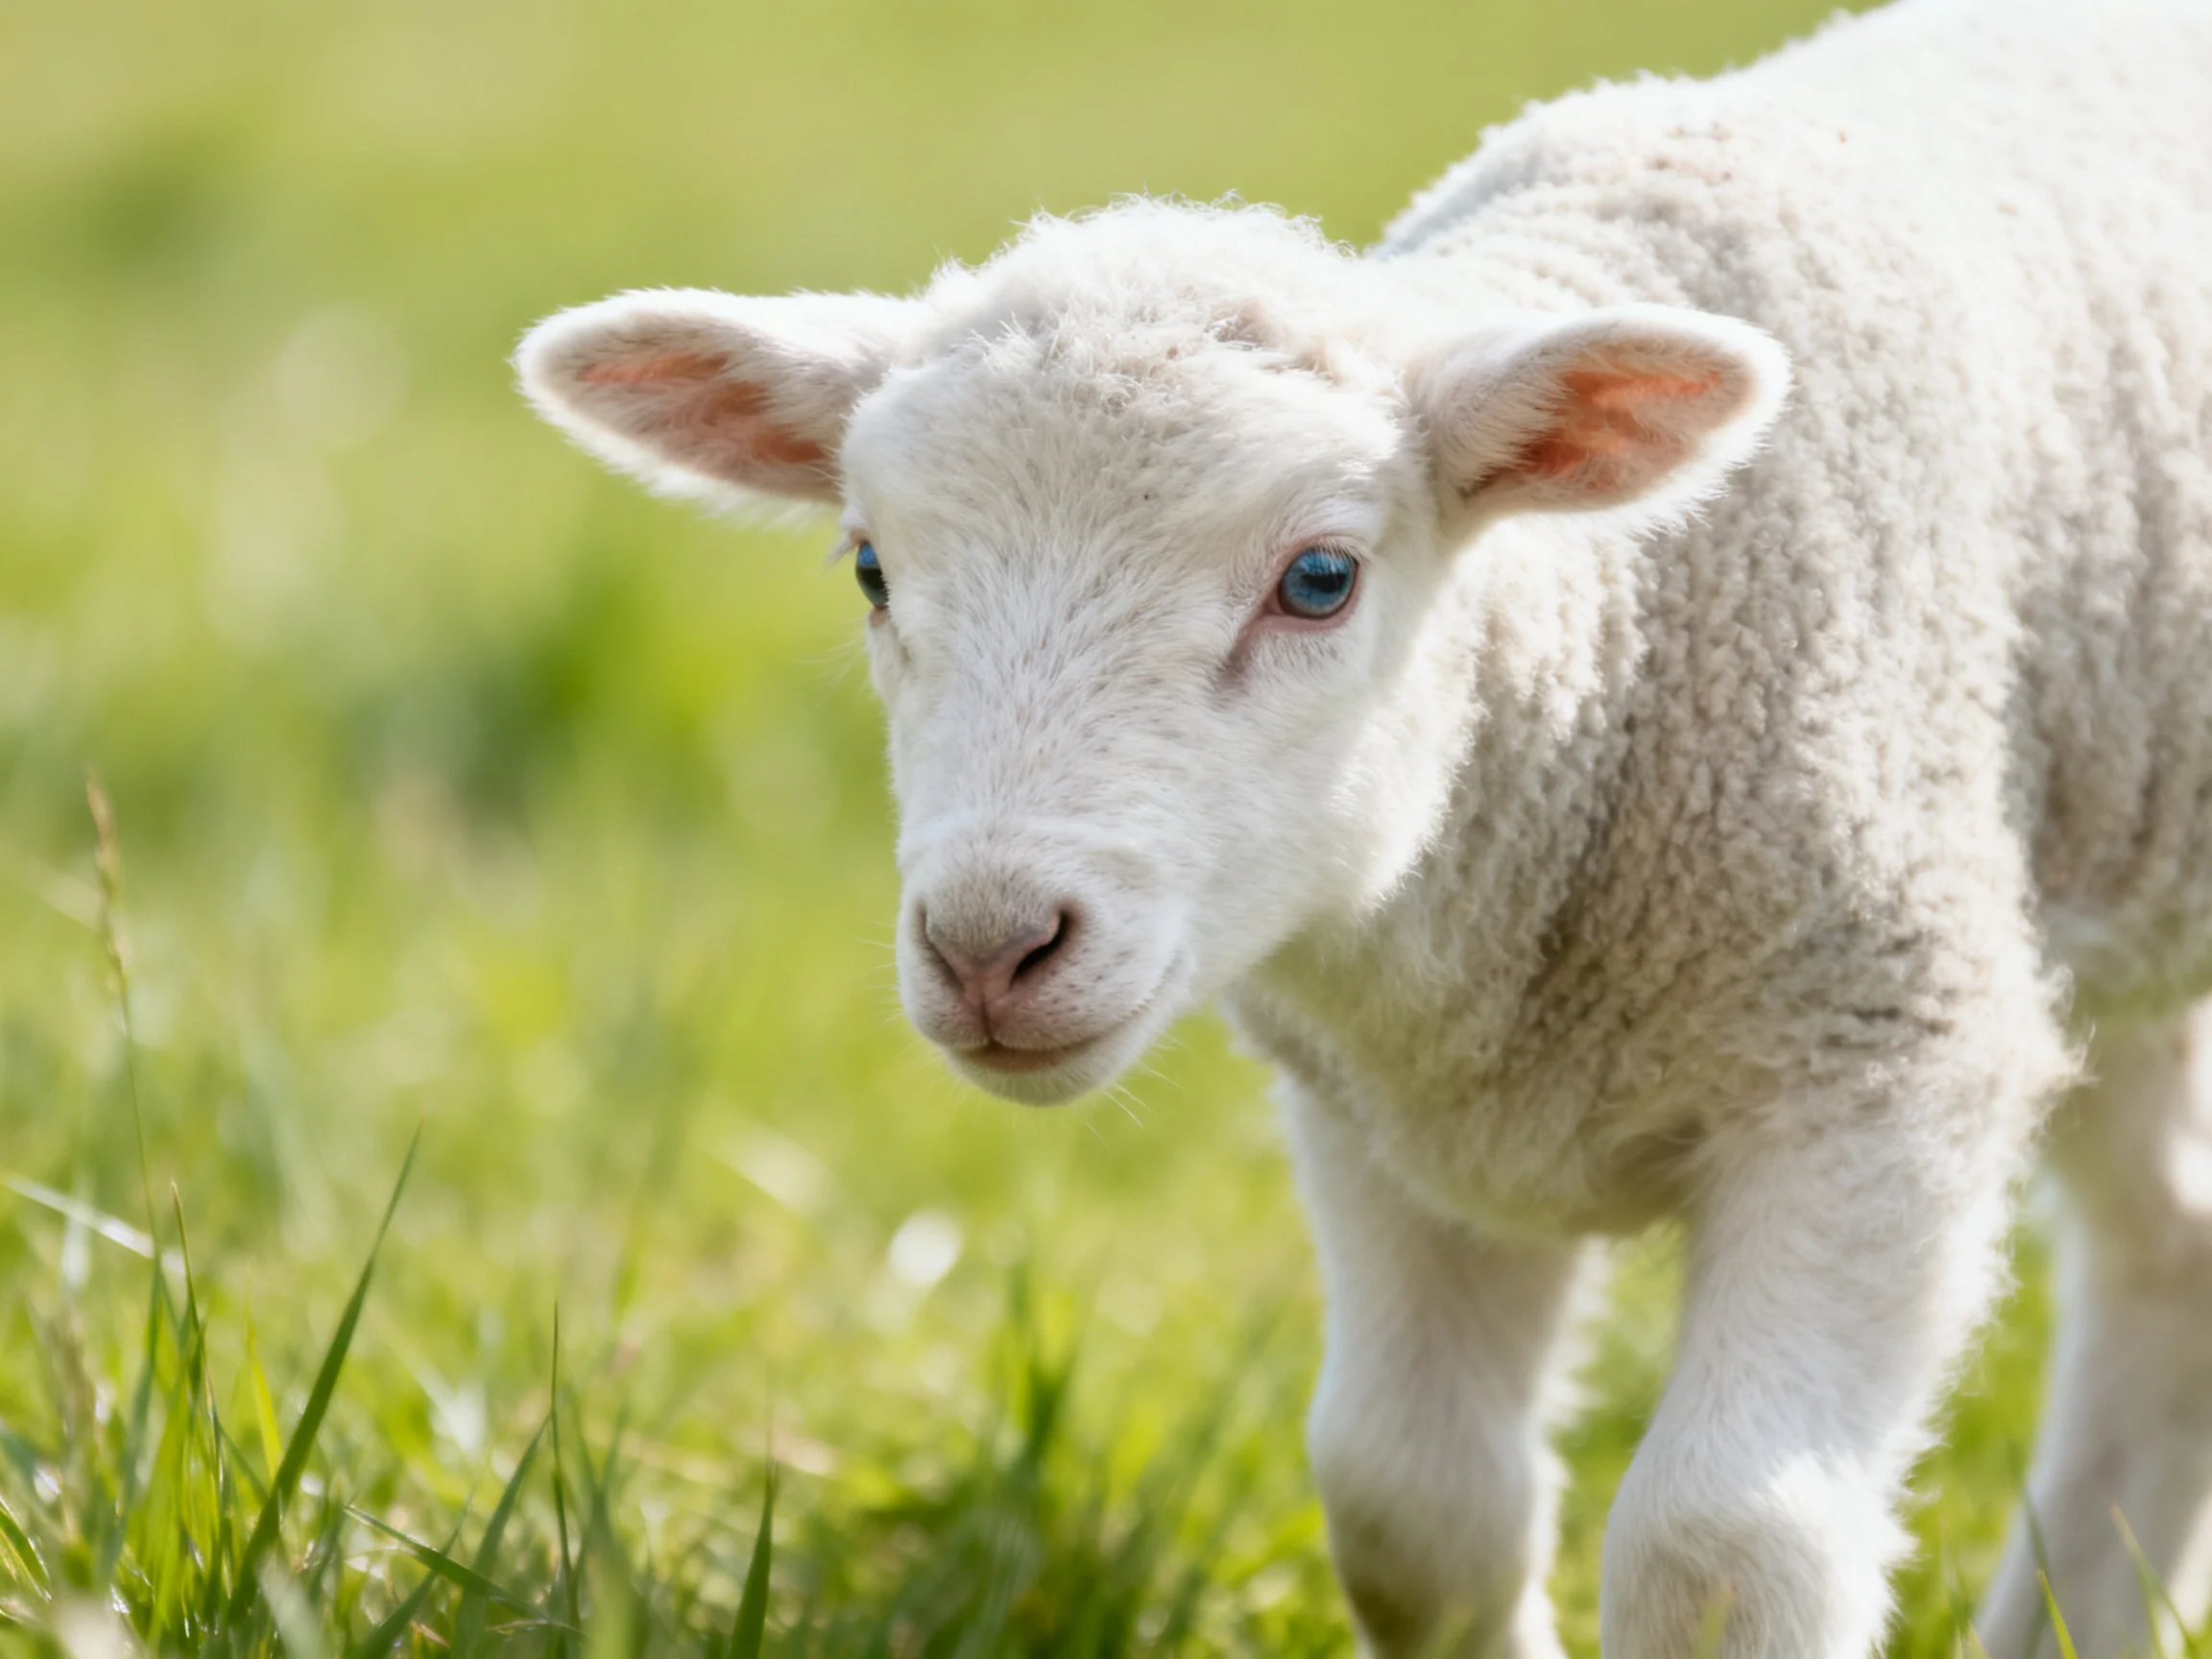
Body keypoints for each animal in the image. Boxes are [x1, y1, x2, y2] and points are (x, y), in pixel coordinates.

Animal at [512, 0, 2212, 1651]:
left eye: (1320, 579)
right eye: (869, 568)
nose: (991, 944)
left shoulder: (1877, 1059)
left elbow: (1722, 1552)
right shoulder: (1389, 1116)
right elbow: (1415, 1513)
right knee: (2171, 1247)